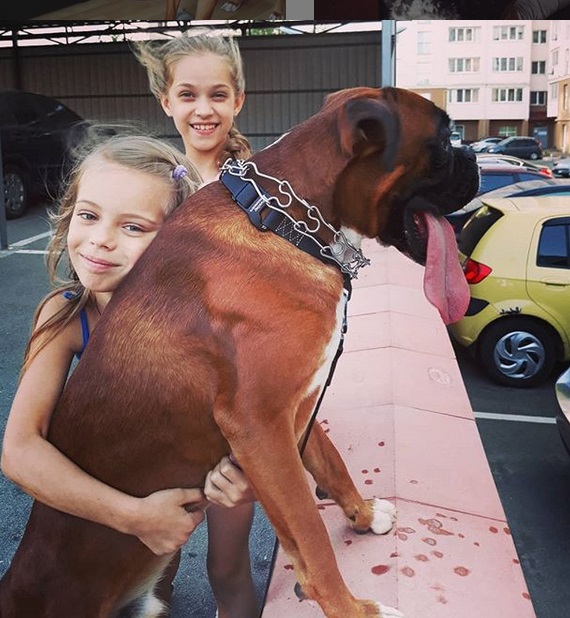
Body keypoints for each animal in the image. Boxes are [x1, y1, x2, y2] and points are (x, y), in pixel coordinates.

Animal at [0, 88, 478, 616]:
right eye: (443, 141)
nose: (476, 161)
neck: (285, 222)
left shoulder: (297, 407)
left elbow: (330, 463)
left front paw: (363, 514)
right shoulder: (260, 424)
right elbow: (311, 535)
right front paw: (353, 609)